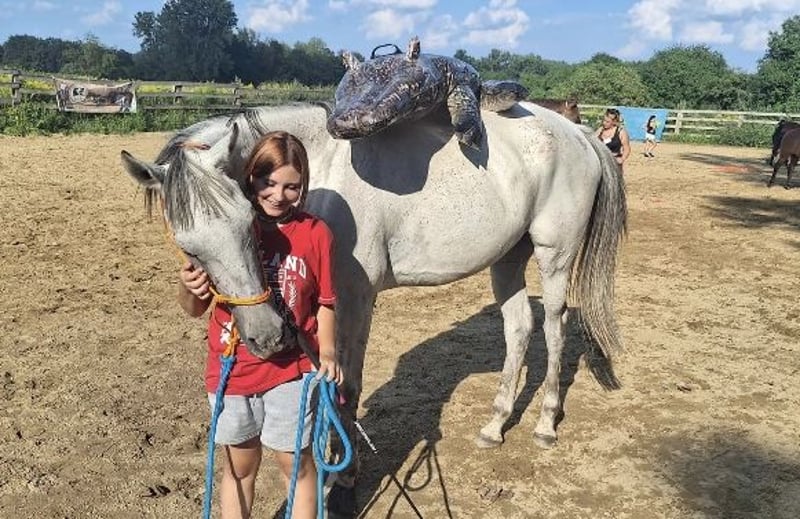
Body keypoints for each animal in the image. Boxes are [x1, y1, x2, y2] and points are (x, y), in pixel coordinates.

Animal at [120, 102, 626, 516]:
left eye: (248, 222)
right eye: (190, 248)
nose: (266, 337)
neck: (321, 170)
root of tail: (578, 133)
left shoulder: (354, 299)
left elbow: (346, 386)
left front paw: (342, 482)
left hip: (553, 256)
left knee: (554, 329)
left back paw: (545, 424)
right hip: (507, 259)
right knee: (519, 327)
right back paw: (495, 424)